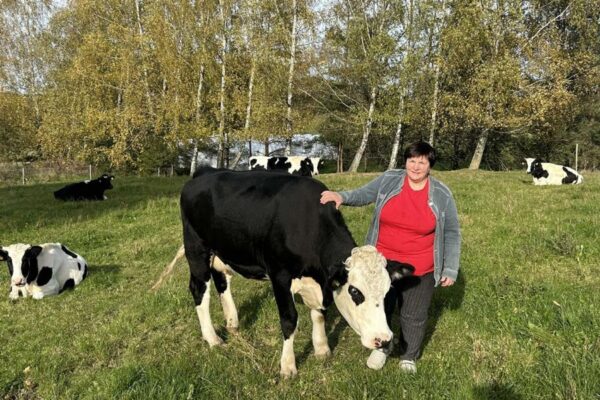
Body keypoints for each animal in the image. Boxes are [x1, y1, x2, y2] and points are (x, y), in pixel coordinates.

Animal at [157, 168, 414, 378]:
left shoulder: (320, 283)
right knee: (199, 289)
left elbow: (319, 314)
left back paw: (232, 323)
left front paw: (322, 349)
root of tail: (204, 172)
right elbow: (289, 320)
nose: (384, 339)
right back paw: (213, 338)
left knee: (222, 281)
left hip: (223, 249)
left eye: (387, 292)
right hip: (196, 248)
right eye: (355, 292)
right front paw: (288, 366)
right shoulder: (279, 275)